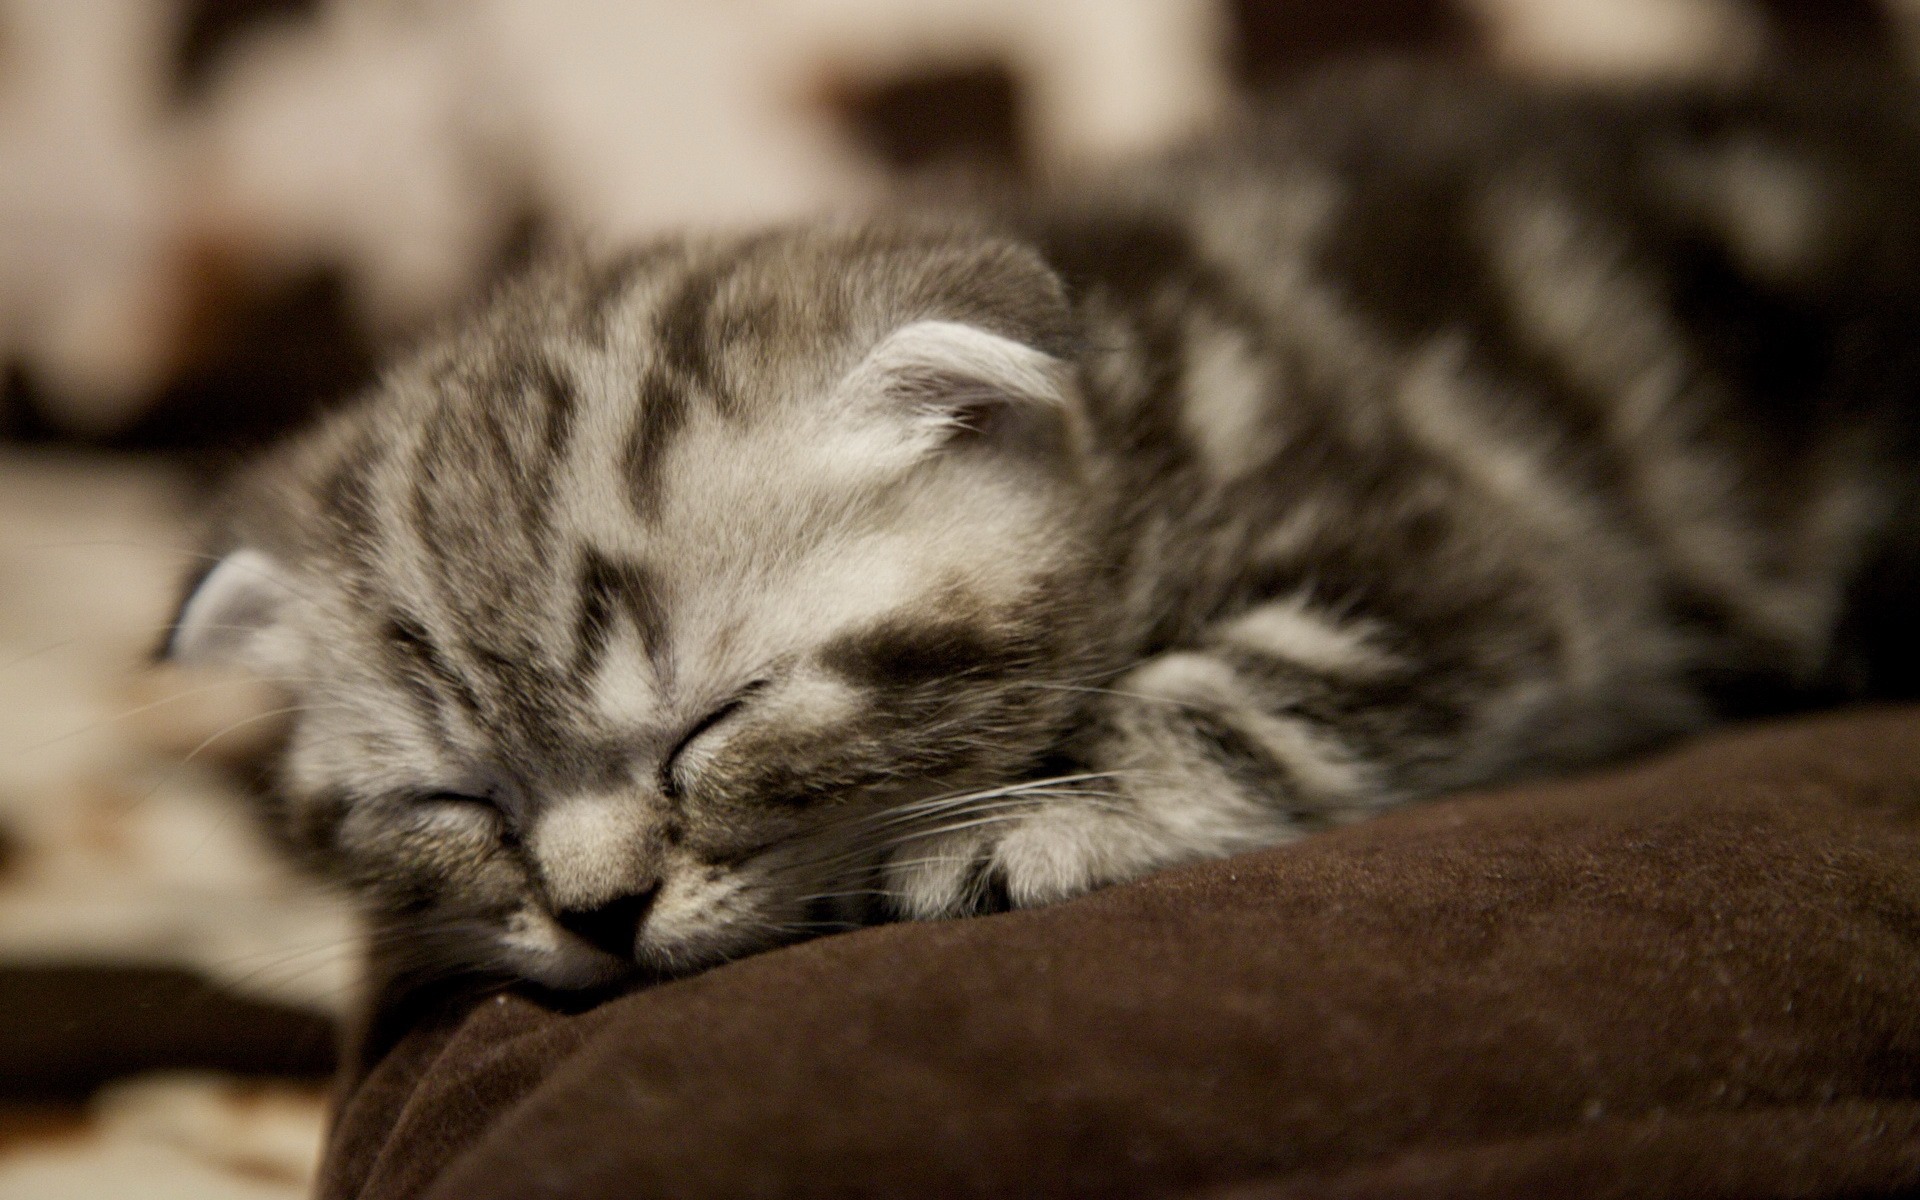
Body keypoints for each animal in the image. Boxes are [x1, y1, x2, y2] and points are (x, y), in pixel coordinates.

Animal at [161, 60, 1920, 990]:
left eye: (721, 721)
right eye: (451, 799)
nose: (597, 916)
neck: (1134, 412)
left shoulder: (1470, 557)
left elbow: (1242, 693)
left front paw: (1039, 819)